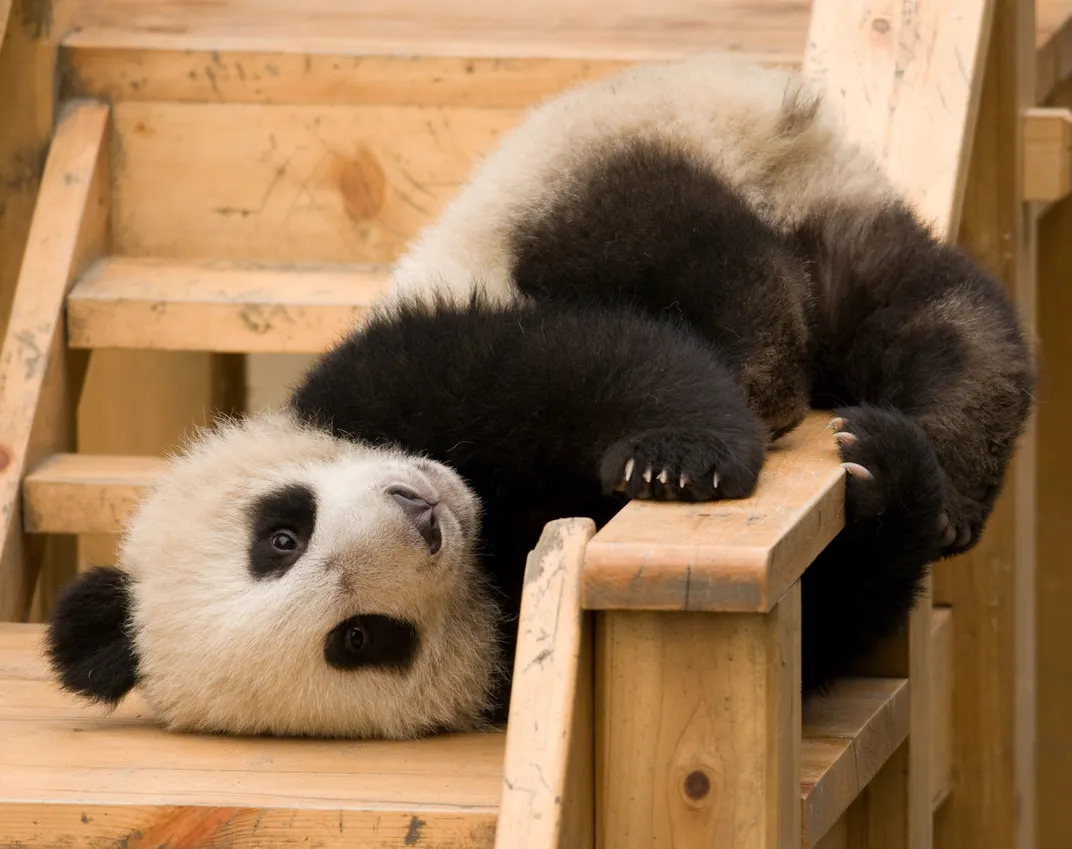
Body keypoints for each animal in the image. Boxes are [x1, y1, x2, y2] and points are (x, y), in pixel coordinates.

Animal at [44, 53, 1035, 740]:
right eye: (360, 639)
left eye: (278, 536)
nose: (422, 516)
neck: (489, 517)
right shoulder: (522, 648)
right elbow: (820, 621)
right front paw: (889, 483)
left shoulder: (392, 366)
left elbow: (572, 361)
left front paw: (677, 459)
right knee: (926, 309)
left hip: (594, 149)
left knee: (663, 231)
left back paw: (787, 377)